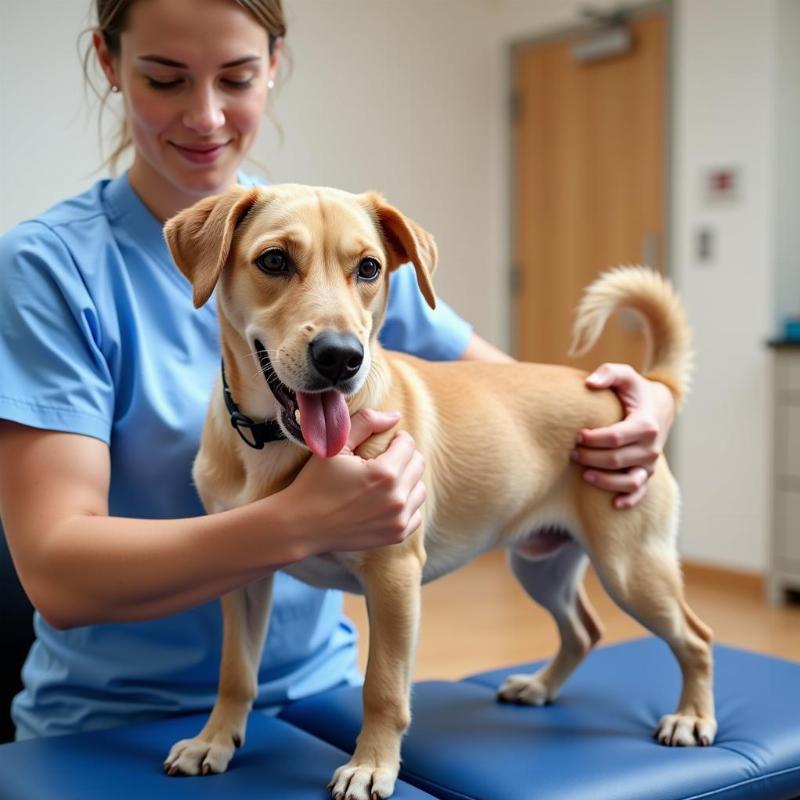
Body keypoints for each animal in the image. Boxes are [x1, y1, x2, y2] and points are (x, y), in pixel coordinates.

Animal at [159, 186, 716, 800]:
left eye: (369, 268)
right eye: (274, 260)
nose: (342, 358)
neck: (276, 445)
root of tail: (637, 392)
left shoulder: (394, 577)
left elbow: (383, 687)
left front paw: (372, 765)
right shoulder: (243, 575)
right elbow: (236, 673)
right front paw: (214, 740)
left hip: (630, 566)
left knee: (696, 637)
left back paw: (692, 716)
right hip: (541, 564)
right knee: (584, 631)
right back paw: (541, 687)